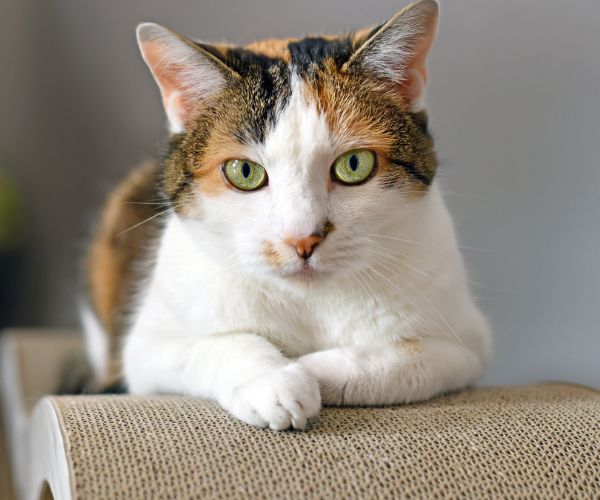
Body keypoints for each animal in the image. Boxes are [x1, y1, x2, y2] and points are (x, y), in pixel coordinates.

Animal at [81, 0, 492, 430]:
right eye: (245, 172)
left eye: (354, 164)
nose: (302, 238)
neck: (308, 303)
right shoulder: (147, 351)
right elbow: (223, 343)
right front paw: (275, 381)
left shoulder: (466, 346)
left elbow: (398, 358)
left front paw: (311, 371)